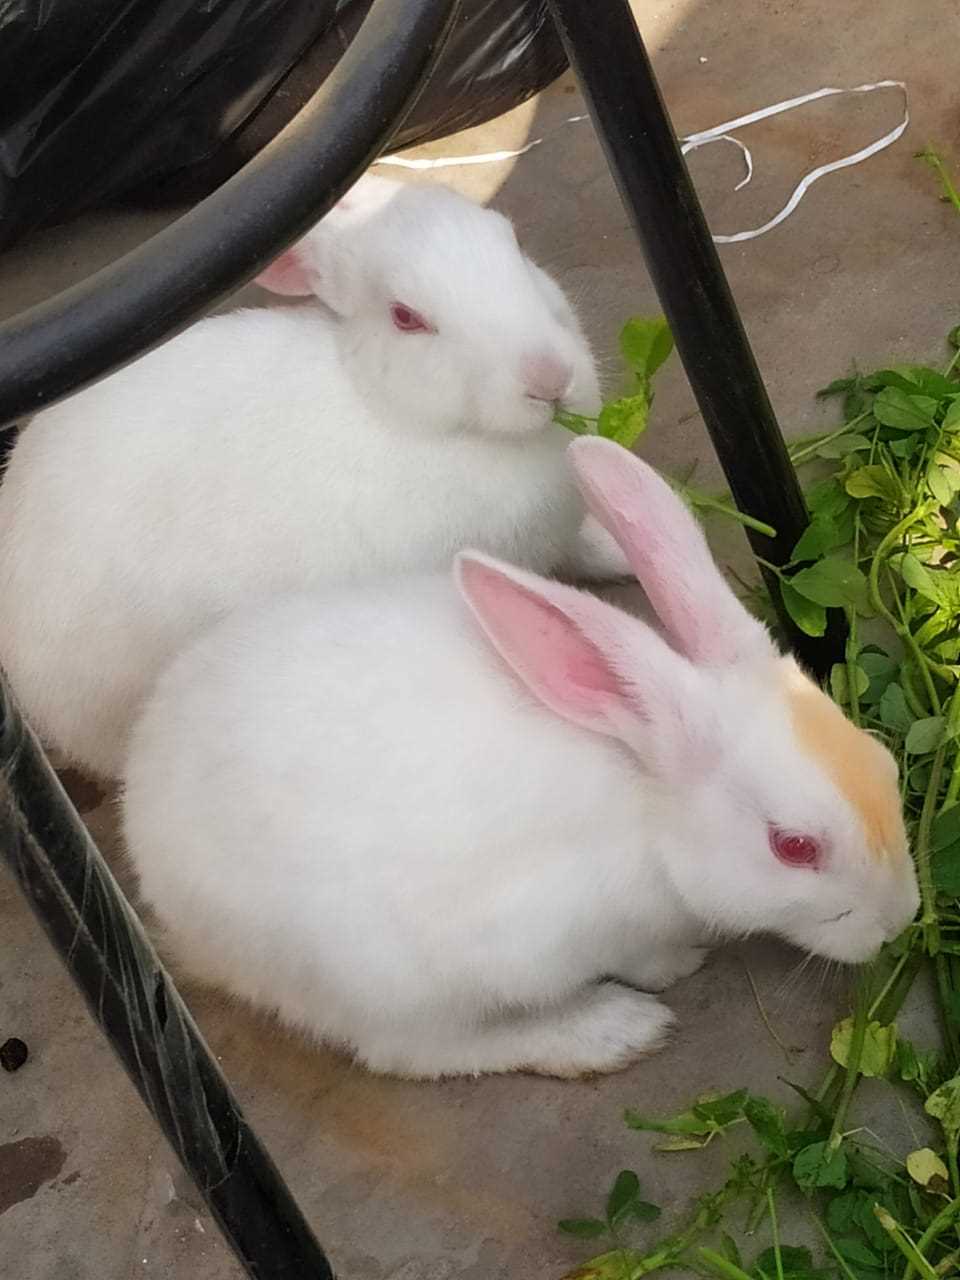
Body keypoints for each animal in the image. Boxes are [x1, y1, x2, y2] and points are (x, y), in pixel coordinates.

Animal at [121, 437, 919, 1080]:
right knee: (411, 1053)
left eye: (885, 764)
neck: (645, 803)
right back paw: (611, 1032)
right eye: (794, 847)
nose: (900, 922)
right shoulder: (534, 938)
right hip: (379, 979)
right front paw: (675, 968)